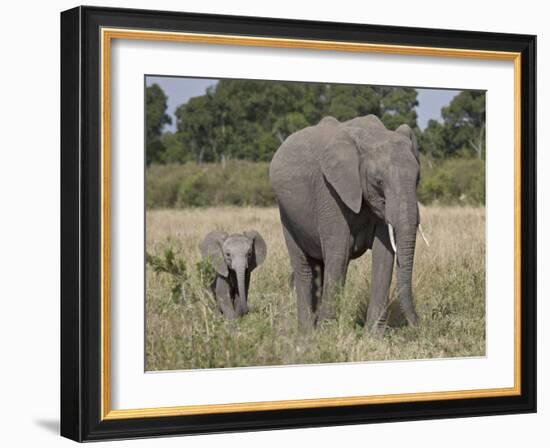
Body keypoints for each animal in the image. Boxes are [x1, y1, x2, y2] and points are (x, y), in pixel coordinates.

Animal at [270, 114, 430, 332]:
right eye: (378, 181)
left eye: (418, 179)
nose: (418, 325)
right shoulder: (329, 191)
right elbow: (339, 253)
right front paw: (327, 334)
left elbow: (384, 256)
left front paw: (373, 335)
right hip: (287, 214)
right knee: (304, 268)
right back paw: (306, 332)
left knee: (319, 268)